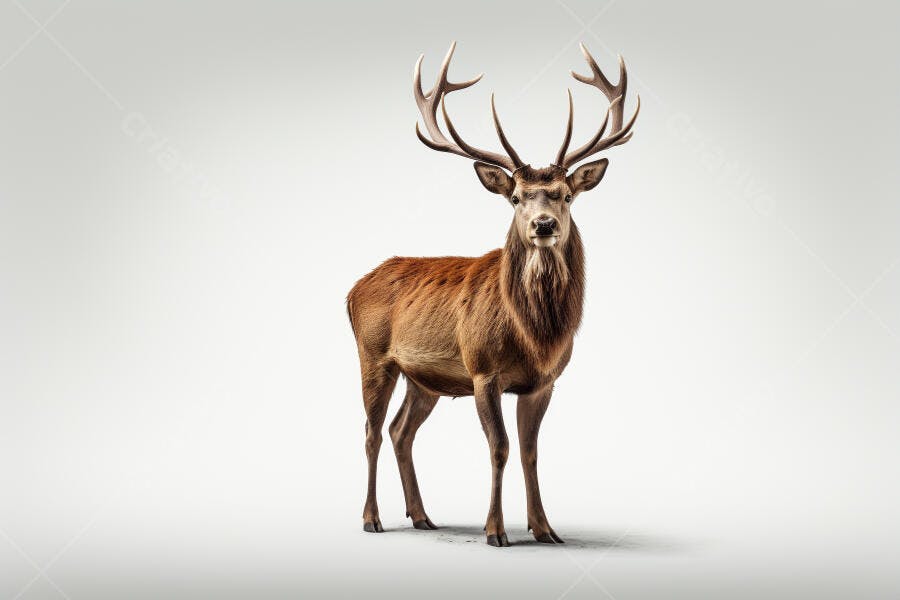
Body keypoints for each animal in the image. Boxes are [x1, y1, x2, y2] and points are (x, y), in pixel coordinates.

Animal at [346, 42, 639, 547]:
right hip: (374, 355)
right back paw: (372, 518)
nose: (544, 225)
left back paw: (422, 515)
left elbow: (530, 450)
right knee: (371, 430)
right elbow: (499, 447)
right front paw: (496, 530)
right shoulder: (483, 370)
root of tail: (353, 288)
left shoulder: (543, 382)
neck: (535, 337)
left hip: (424, 378)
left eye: (565, 195)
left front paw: (544, 528)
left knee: (402, 431)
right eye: (516, 197)